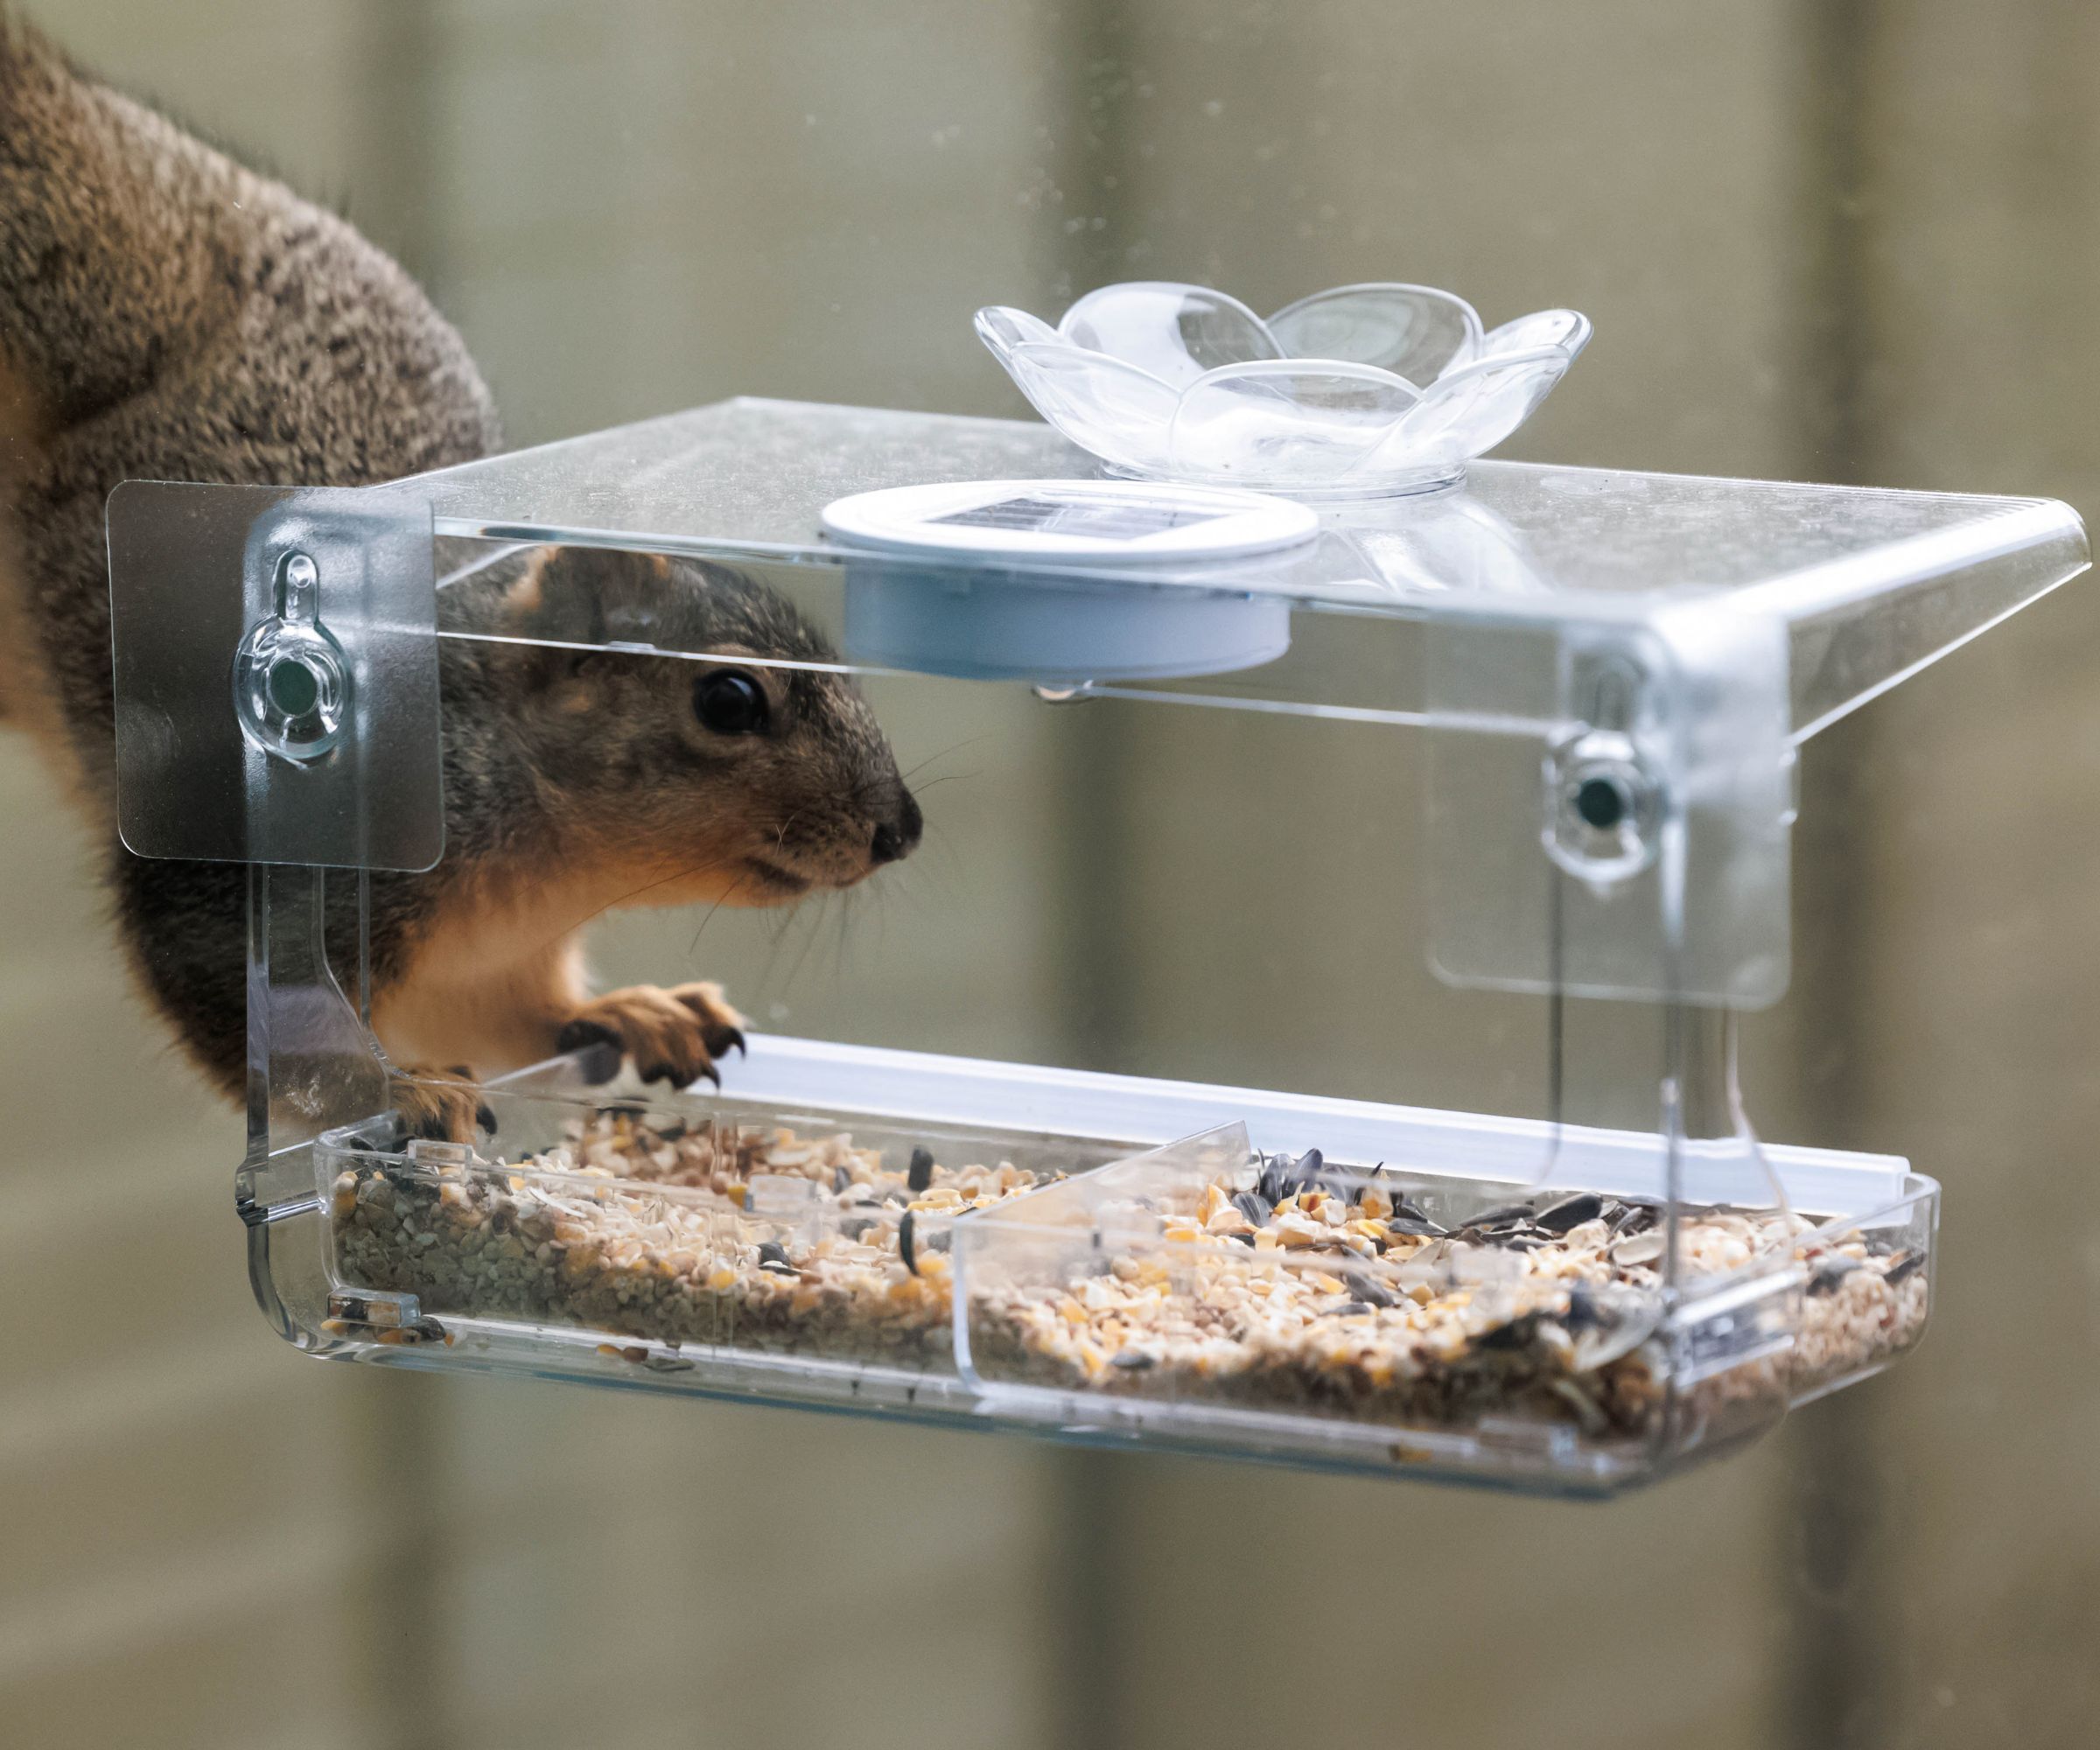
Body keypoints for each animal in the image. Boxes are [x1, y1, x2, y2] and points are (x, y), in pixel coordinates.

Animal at [0, 19, 922, 1138]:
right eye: (730, 700)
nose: (902, 829)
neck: (550, 860)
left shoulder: (488, 961)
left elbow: (520, 1014)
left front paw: (636, 1010)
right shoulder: (252, 875)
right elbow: (242, 1013)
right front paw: (398, 1087)